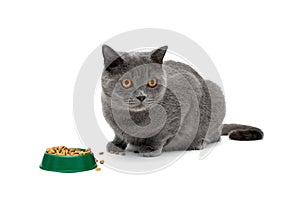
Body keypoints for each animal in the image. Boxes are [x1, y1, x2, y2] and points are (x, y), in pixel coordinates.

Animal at [101, 44, 262, 157]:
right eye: (126, 82)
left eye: (152, 82)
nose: (141, 96)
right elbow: (119, 135)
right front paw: (116, 145)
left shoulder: (187, 92)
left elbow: (162, 134)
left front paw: (150, 149)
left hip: (214, 91)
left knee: (215, 135)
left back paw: (199, 142)